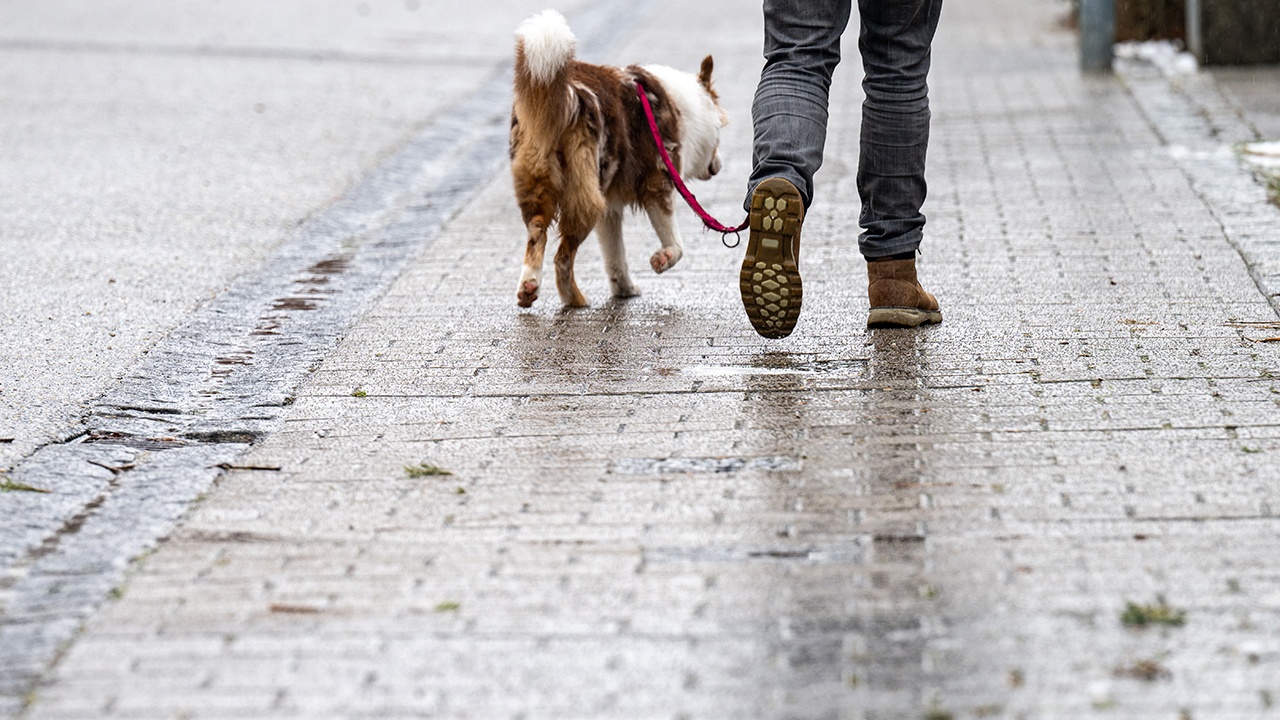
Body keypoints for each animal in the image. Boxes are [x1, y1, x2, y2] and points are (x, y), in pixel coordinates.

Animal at [509, 9, 732, 304]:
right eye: (720, 129)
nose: (718, 166)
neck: (683, 109)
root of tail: (567, 93)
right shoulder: (658, 182)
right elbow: (676, 242)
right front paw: (662, 259)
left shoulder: (610, 209)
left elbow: (615, 255)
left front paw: (624, 289)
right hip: (586, 197)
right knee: (562, 258)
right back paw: (574, 300)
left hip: (542, 183)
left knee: (537, 236)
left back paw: (530, 287)